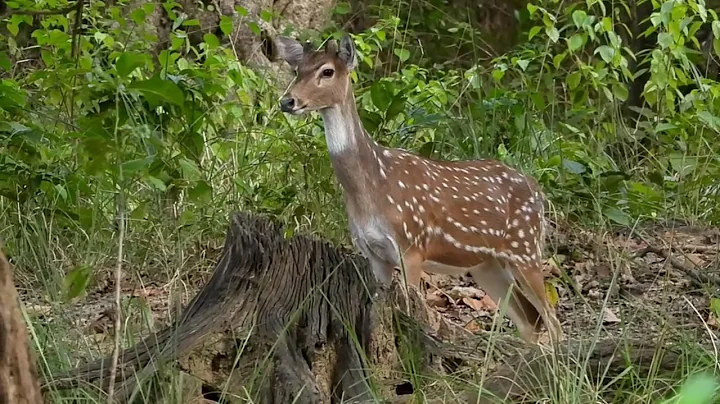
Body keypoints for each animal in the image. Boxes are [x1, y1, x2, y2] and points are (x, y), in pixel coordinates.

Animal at [274, 33, 563, 344]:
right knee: (529, 319)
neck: (372, 186)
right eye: (297, 70)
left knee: (551, 319)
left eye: (327, 71)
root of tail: (538, 191)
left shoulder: (412, 246)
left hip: (525, 248)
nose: (287, 101)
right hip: (487, 264)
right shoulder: (373, 253)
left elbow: (412, 314)